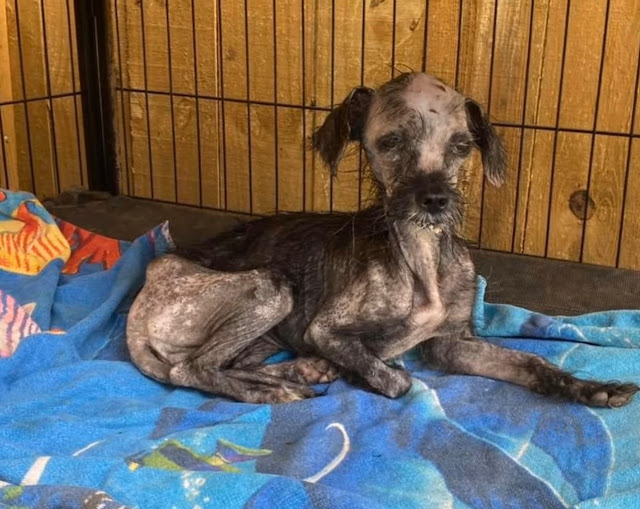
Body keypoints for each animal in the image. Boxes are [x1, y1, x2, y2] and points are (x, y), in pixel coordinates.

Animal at [126, 71, 640, 406]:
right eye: (391, 143)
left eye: (461, 146)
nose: (435, 200)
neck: (421, 255)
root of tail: (150, 278)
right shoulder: (325, 330)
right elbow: (398, 380)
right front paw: (370, 372)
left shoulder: (451, 343)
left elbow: (532, 364)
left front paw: (592, 388)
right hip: (271, 287)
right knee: (192, 369)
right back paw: (271, 389)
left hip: (266, 327)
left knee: (223, 364)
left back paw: (297, 370)